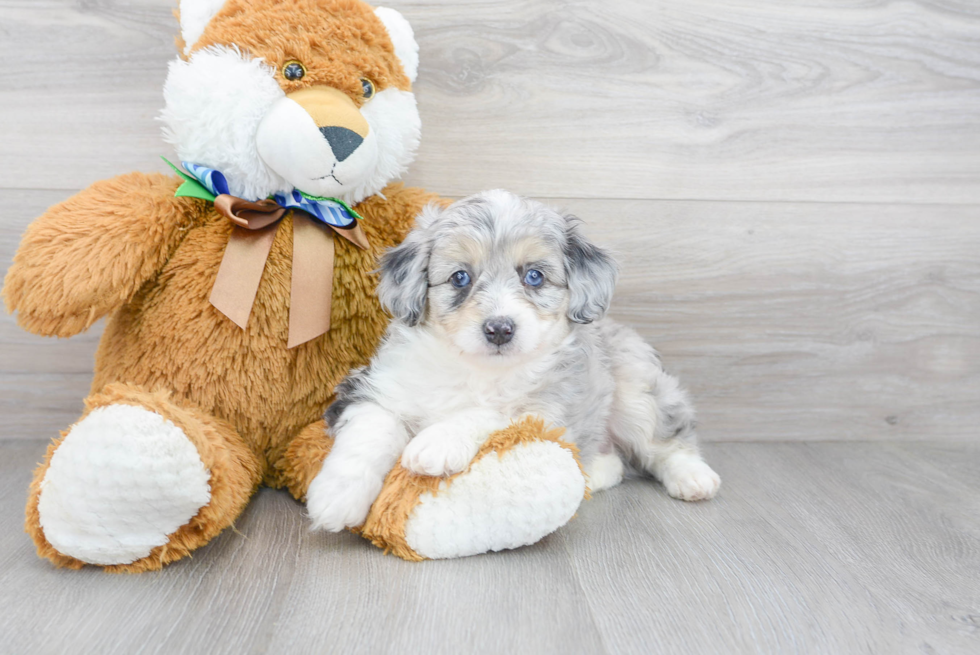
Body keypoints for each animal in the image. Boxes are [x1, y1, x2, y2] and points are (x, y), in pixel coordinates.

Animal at [310, 190, 724, 532]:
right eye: (460, 277)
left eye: (534, 276)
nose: (499, 329)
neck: (477, 370)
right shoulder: (373, 387)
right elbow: (370, 431)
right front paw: (335, 496)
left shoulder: (549, 412)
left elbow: (492, 412)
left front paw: (438, 442)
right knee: (615, 461)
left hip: (636, 388)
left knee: (666, 439)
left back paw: (693, 477)